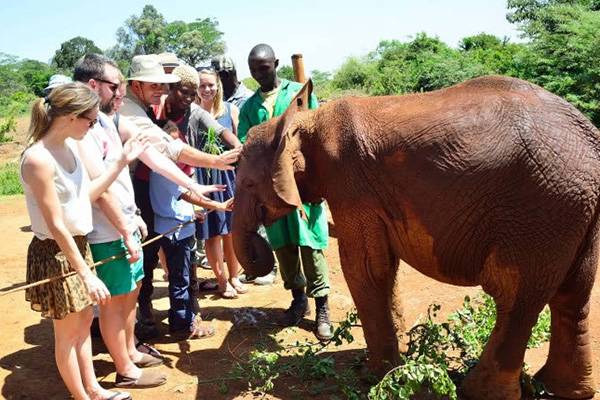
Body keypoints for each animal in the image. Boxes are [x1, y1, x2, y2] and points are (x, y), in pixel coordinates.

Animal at [233, 76, 600, 400]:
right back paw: (560, 388)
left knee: (514, 296)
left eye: (248, 184)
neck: (303, 119)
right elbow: (383, 267)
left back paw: (477, 391)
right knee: (572, 295)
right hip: (575, 210)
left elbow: (365, 269)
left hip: (542, 209)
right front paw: (397, 356)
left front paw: (375, 376)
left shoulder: (350, 185)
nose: (255, 262)